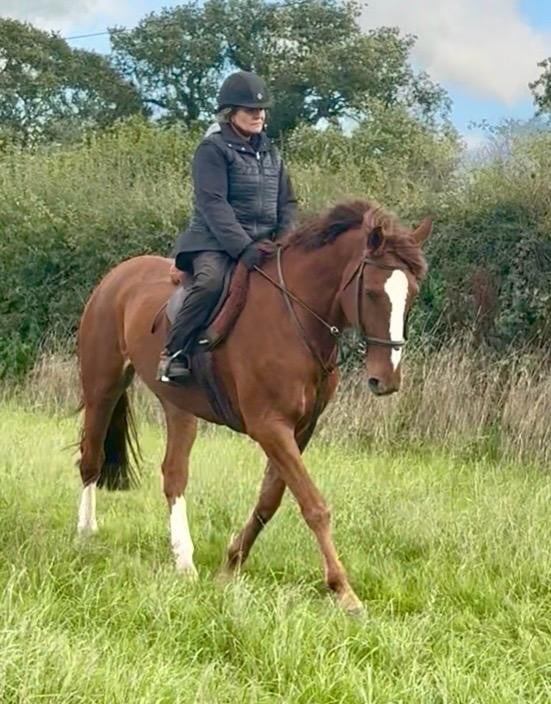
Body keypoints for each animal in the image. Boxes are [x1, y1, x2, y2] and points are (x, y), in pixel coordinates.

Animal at [76, 199, 431, 614]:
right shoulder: (270, 427)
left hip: (179, 407)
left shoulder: (298, 430)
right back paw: (85, 534)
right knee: (91, 459)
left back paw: (184, 561)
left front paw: (230, 566)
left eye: (412, 293)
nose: (385, 380)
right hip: (102, 387)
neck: (295, 317)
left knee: (173, 474)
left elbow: (270, 500)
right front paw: (345, 592)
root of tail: (116, 276)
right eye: (373, 292)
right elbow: (314, 505)